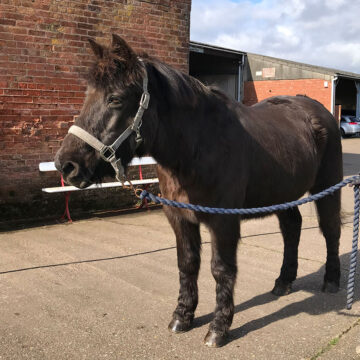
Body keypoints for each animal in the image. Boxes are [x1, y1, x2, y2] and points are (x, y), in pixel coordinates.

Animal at [54, 35, 344, 348]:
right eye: (87, 95)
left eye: (115, 99)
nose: (66, 165)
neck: (199, 146)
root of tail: (317, 111)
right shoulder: (179, 218)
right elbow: (187, 264)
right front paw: (182, 316)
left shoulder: (223, 221)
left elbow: (221, 269)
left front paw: (218, 328)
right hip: (282, 192)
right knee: (292, 228)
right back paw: (283, 281)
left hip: (328, 186)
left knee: (330, 230)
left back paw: (331, 280)